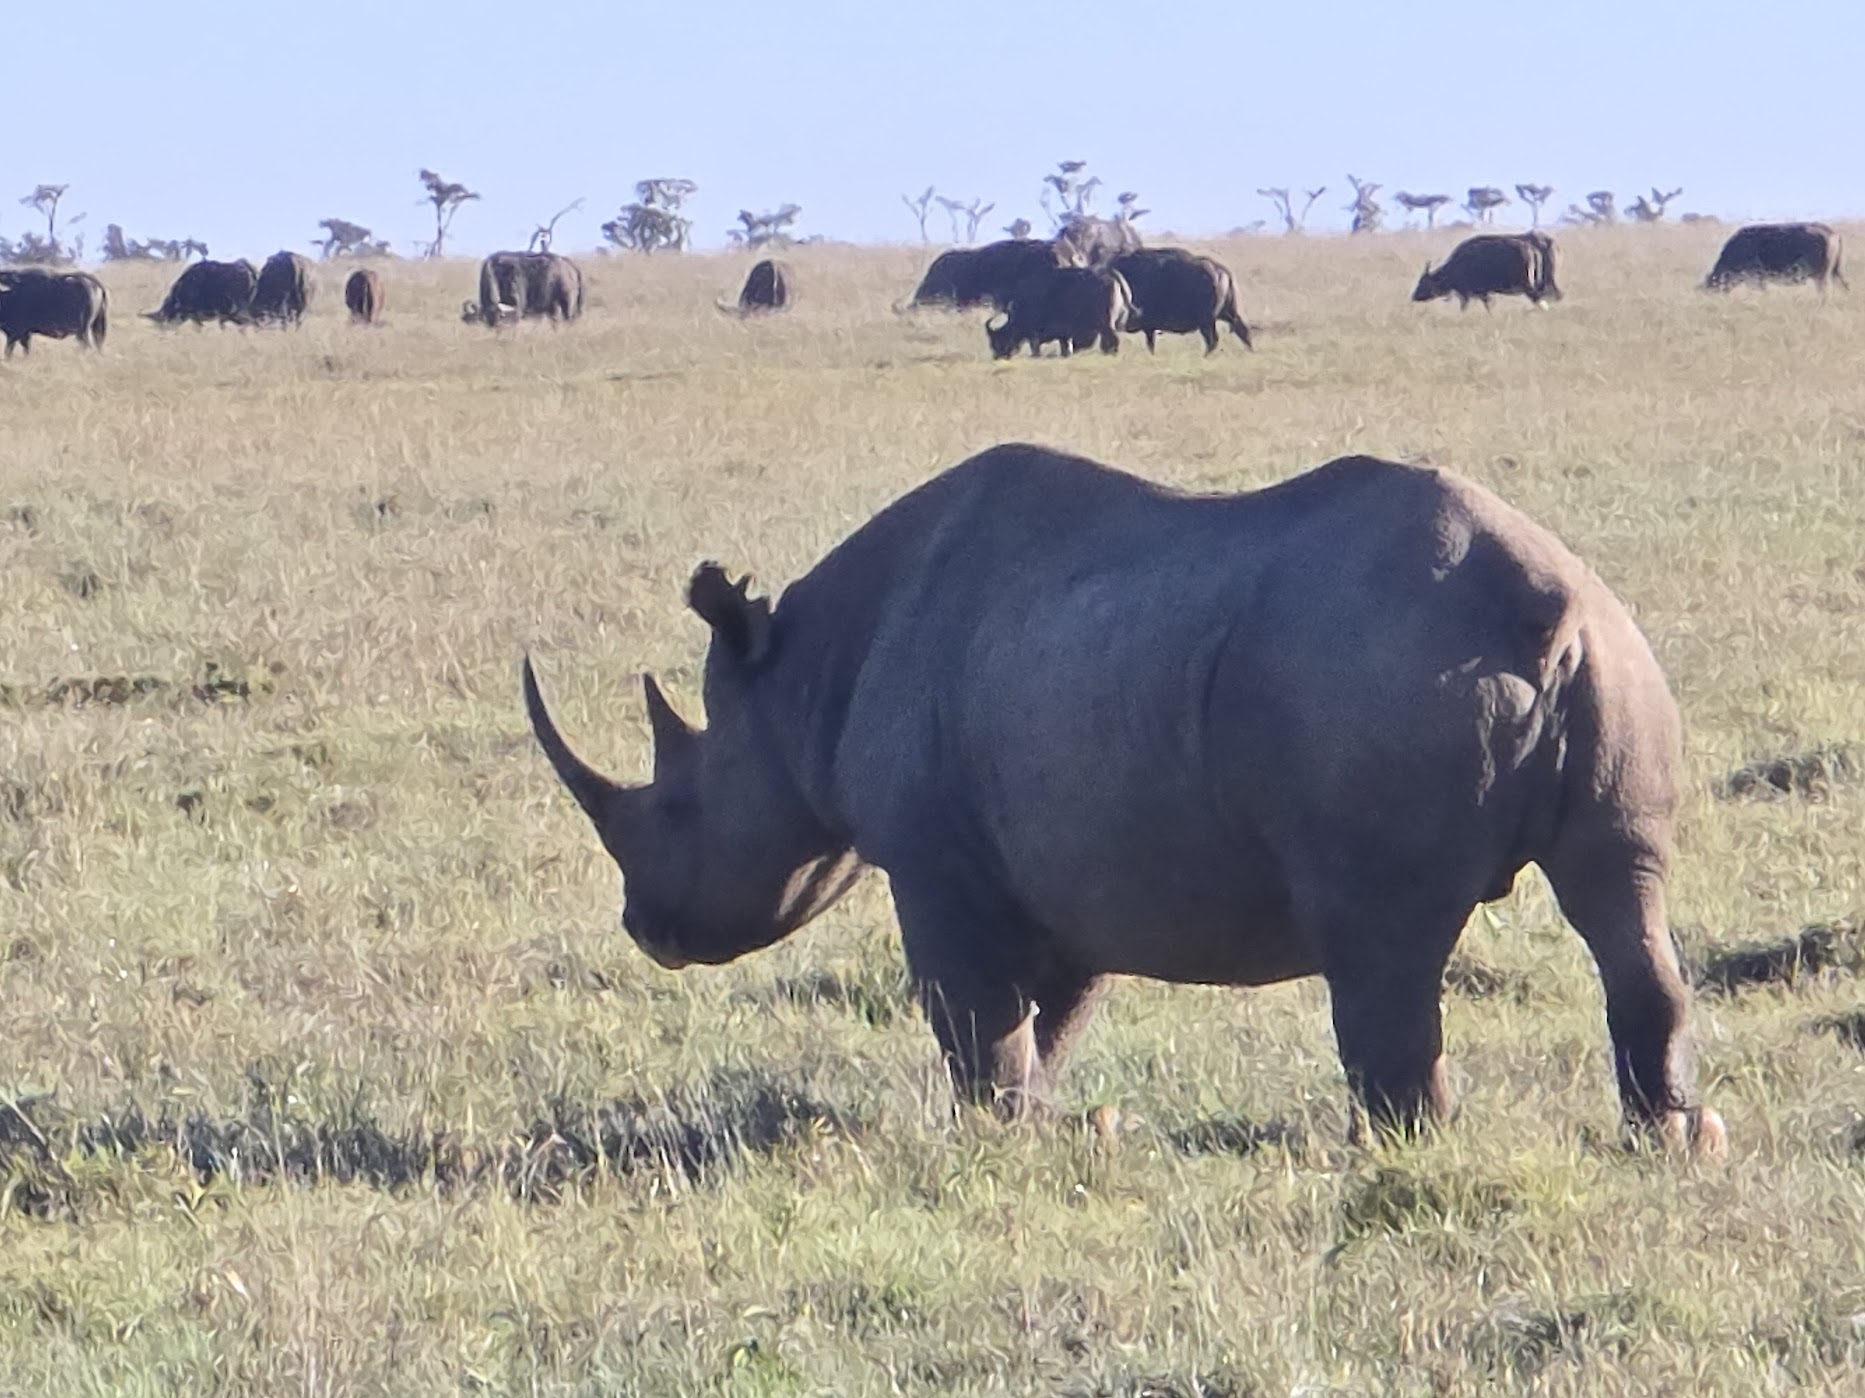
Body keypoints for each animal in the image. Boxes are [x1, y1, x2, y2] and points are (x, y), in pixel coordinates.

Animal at [522, 443, 1726, 1156]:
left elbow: (969, 1012)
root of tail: (1542, 605)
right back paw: (1670, 1139)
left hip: (1377, 685)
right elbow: (1045, 1014)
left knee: (1378, 941)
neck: (798, 681)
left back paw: (1393, 1153)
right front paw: (1047, 1124)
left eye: (676, 810)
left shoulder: (933, 860)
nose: (647, 930)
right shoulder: (1063, 856)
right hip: (1621, 658)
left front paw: (991, 1138)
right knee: (1621, 893)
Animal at [985, 266, 1137, 359]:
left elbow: (1035, 350)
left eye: (998, 340)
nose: (997, 357)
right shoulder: (1064, 336)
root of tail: (1109, 273)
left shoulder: (1034, 335)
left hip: (1105, 323)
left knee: (1112, 340)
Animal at [1111, 247, 1252, 353]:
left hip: (1206, 321)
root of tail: (1220, 271)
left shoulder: (1147, 326)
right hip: (1228, 313)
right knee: (1242, 330)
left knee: (1213, 341)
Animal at [1413, 232, 1561, 309]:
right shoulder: (1481, 293)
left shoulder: (1468, 293)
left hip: (1528, 285)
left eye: (1423, 282)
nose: (1413, 296)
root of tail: (1530, 249)